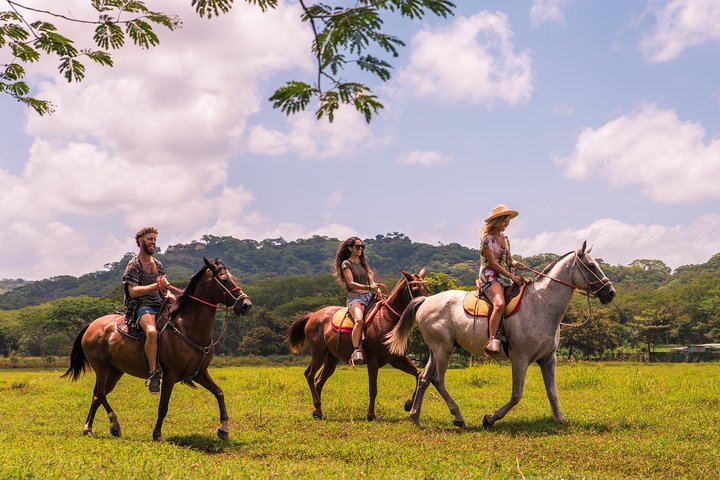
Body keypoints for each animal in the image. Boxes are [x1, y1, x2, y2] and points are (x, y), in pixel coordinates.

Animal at [62, 258, 253, 442]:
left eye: (234, 278)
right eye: (224, 280)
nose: (246, 305)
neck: (186, 327)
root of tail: (91, 325)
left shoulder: (200, 373)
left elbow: (219, 393)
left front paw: (223, 429)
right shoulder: (170, 375)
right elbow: (163, 406)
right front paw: (157, 435)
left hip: (115, 371)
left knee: (97, 395)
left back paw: (89, 429)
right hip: (101, 367)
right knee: (100, 394)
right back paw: (114, 425)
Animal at [284, 268, 428, 422]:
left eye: (427, 288)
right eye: (415, 288)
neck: (387, 319)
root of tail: (312, 315)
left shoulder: (397, 359)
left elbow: (419, 375)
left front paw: (408, 404)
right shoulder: (373, 360)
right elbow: (373, 388)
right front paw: (371, 415)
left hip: (331, 358)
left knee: (318, 380)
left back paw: (318, 411)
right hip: (319, 353)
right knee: (310, 375)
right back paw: (317, 407)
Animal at [386, 242, 616, 430]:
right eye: (591, 266)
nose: (611, 292)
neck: (540, 305)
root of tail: (426, 300)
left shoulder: (548, 359)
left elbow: (552, 392)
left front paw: (559, 419)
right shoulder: (520, 358)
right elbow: (516, 395)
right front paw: (489, 418)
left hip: (437, 349)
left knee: (424, 378)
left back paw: (415, 417)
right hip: (444, 349)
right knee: (437, 379)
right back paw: (458, 416)